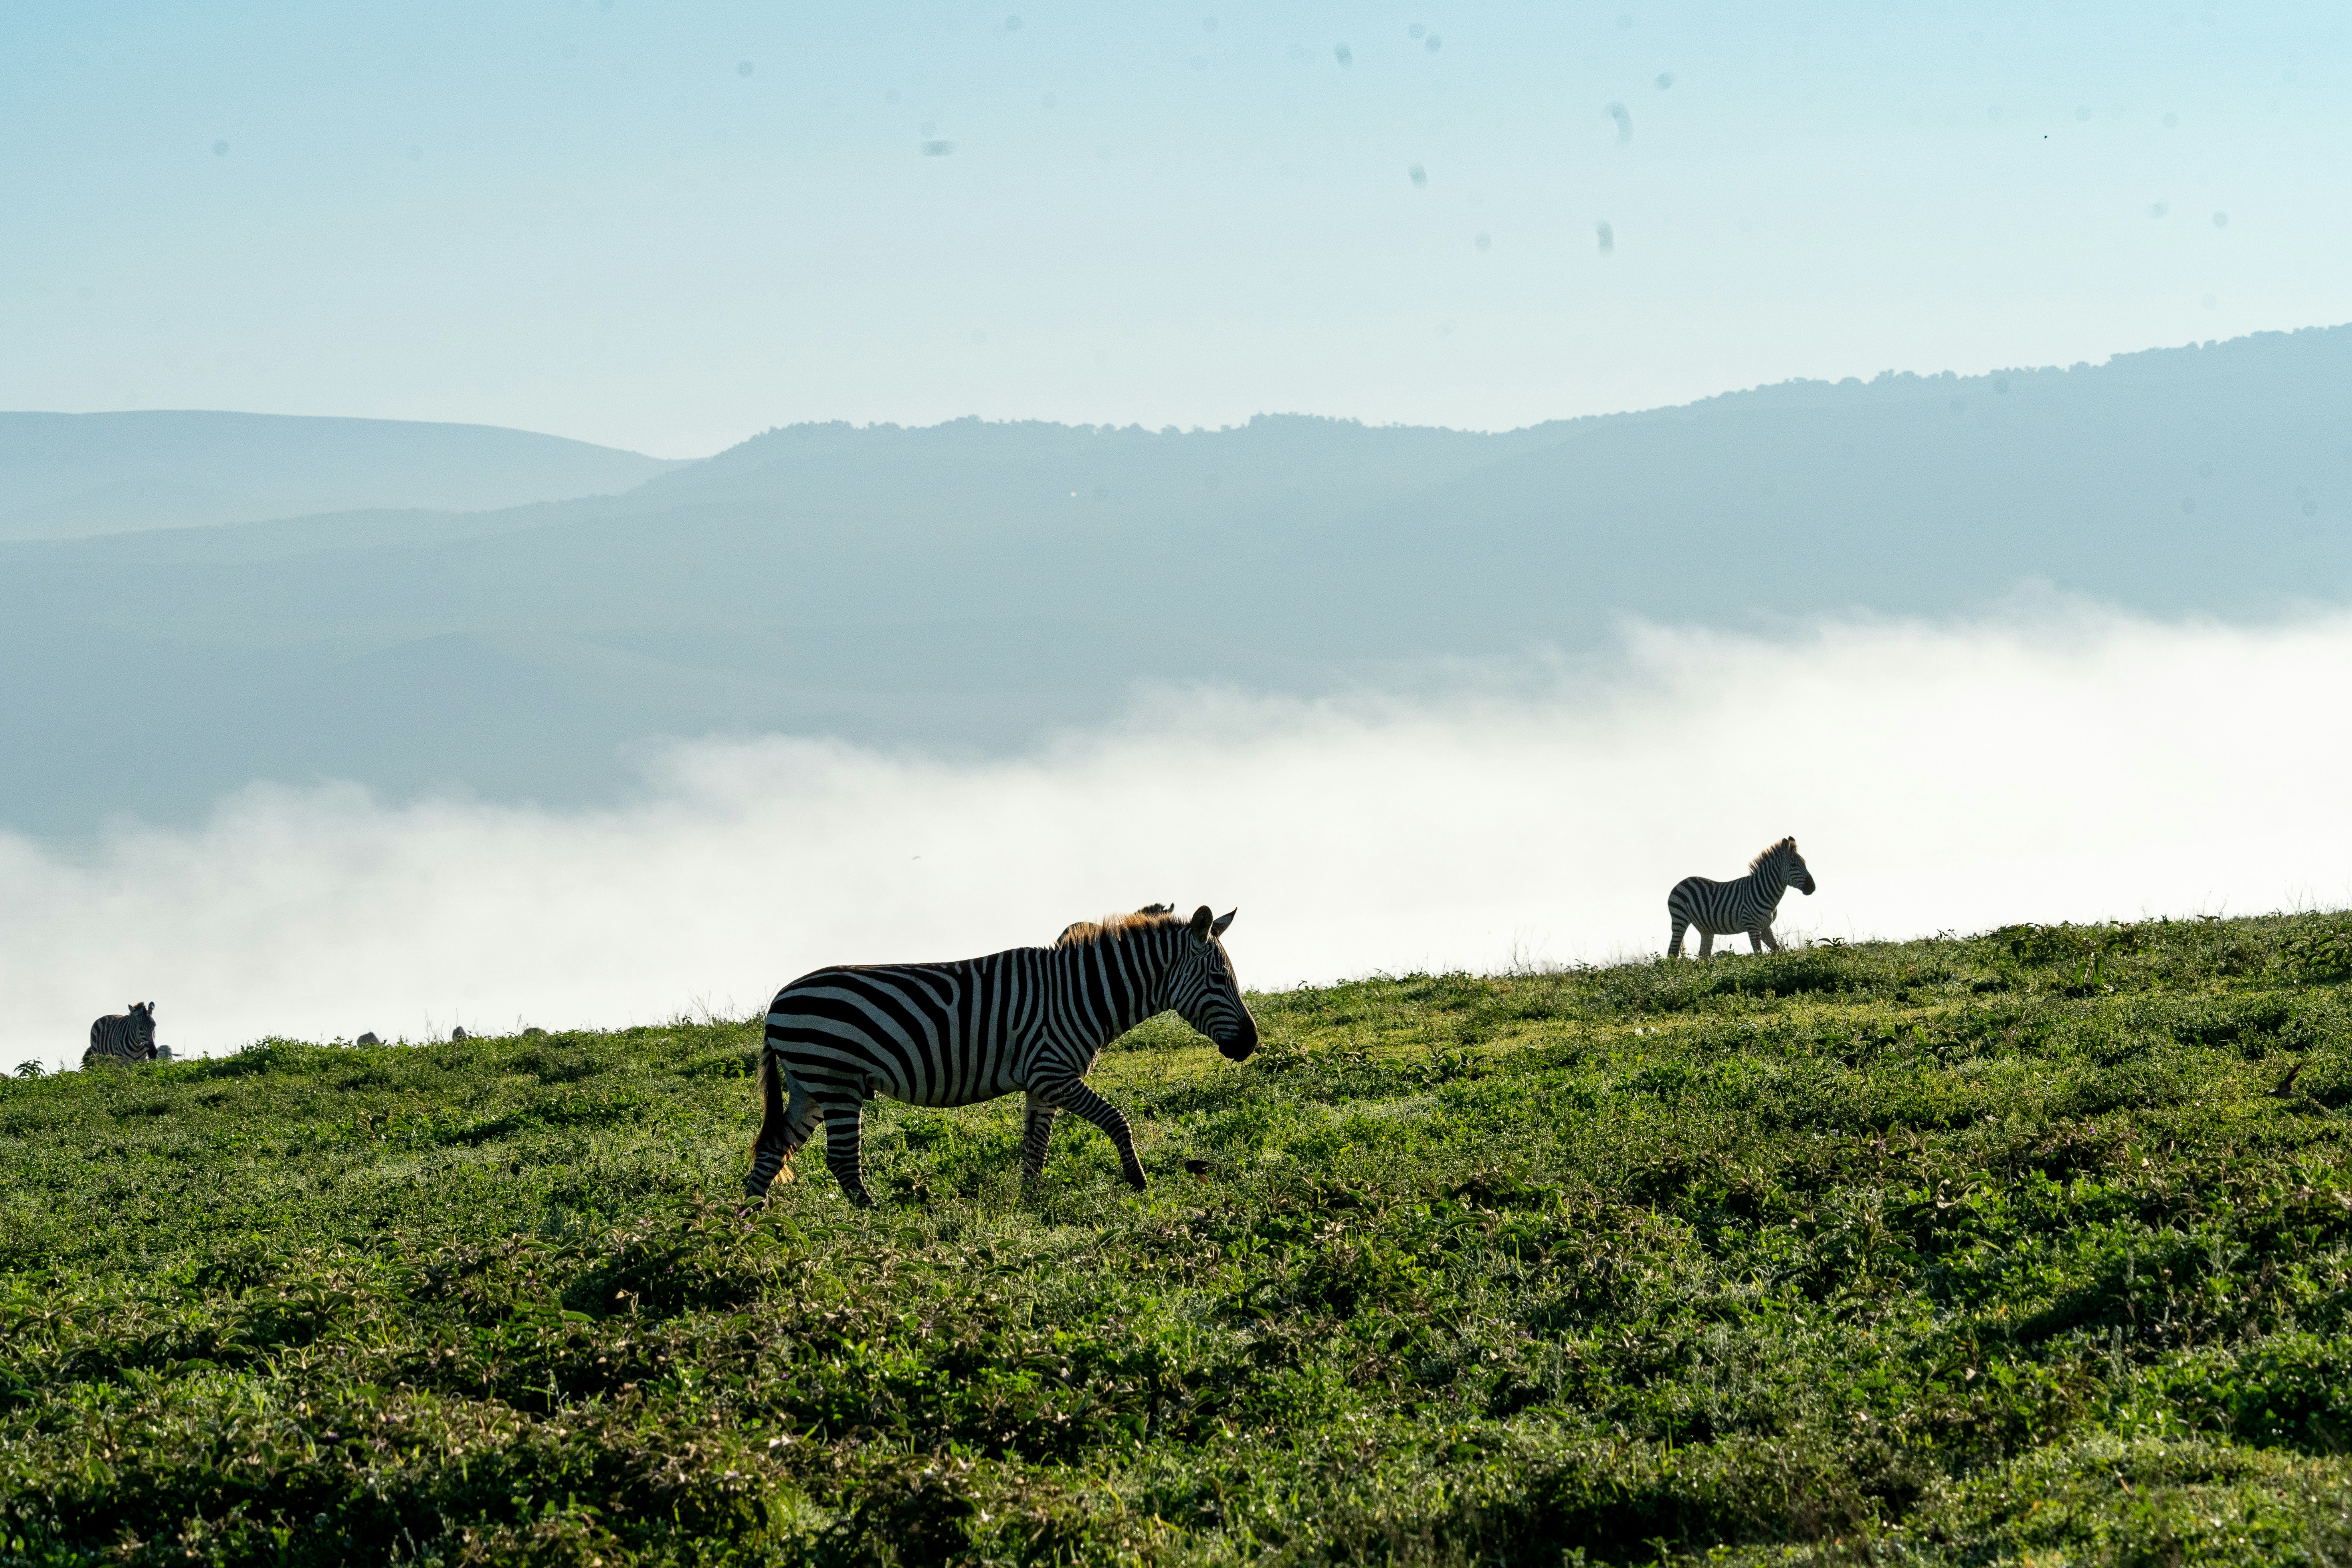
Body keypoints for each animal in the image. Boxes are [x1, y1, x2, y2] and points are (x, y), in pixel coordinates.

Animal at [85, 1002, 158, 1066]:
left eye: (155, 1026)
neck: (137, 1048)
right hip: (98, 1057)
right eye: (140, 1028)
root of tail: (106, 1016)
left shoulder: (144, 1061)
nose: (153, 1053)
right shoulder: (122, 1061)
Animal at [746, 903, 1258, 1207]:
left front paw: (1029, 1206)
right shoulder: (1054, 1073)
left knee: (773, 1148)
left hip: (812, 1086)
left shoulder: (1043, 1083)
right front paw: (1138, 1181)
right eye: (1219, 979)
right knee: (840, 1161)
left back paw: (751, 1221)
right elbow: (1117, 1120)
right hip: (837, 1082)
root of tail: (776, 1003)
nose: (1251, 1043)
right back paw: (874, 1219)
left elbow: (1036, 1148)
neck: (1082, 993)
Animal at [1667, 837, 1818, 958]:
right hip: (1680, 920)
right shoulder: (1752, 926)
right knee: (1672, 952)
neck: (1764, 891)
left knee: (1704, 955)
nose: (1812, 888)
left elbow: (1777, 950)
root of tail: (1681, 882)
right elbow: (1759, 954)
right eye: (1794, 865)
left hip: (1705, 928)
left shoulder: (1765, 926)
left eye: (1804, 863)